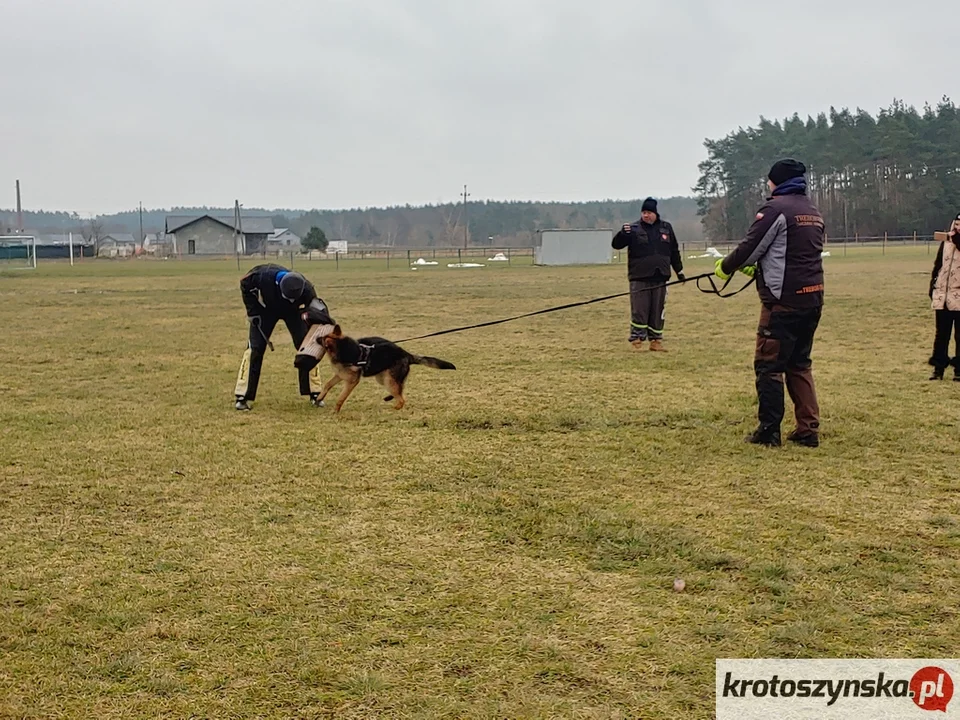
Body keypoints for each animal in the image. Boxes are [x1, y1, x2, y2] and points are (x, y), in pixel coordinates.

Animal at [294, 324, 456, 414]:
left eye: (321, 340)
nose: (315, 338)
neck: (344, 348)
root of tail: (406, 354)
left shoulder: (351, 382)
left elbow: (341, 397)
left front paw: (335, 410)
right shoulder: (340, 375)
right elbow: (327, 385)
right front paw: (319, 398)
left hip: (388, 380)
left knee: (402, 399)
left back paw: (393, 408)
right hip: (383, 378)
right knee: (400, 389)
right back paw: (389, 398)